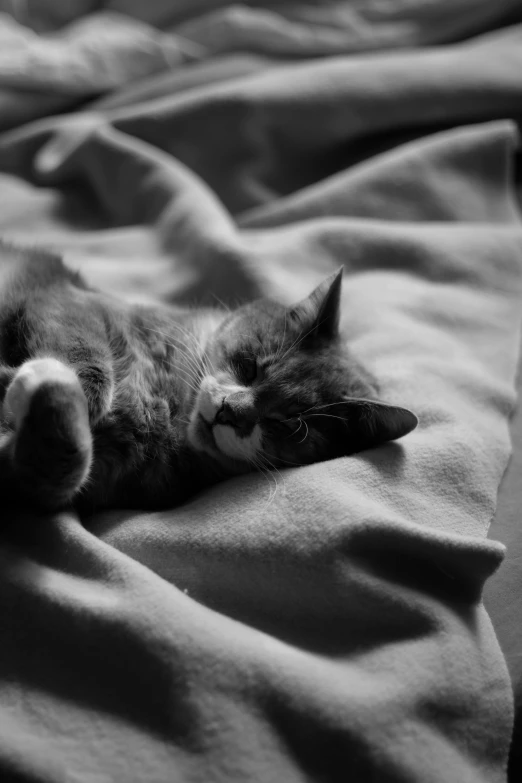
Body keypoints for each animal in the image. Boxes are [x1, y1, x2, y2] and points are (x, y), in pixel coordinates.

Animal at [0, 245, 416, 516]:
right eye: (249, 367)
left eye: (287, 425)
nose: (229, 412)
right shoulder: (69, 301)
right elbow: (86, 348)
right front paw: (75, 390)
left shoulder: (88, 481)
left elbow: (61, 462)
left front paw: (41, 389)